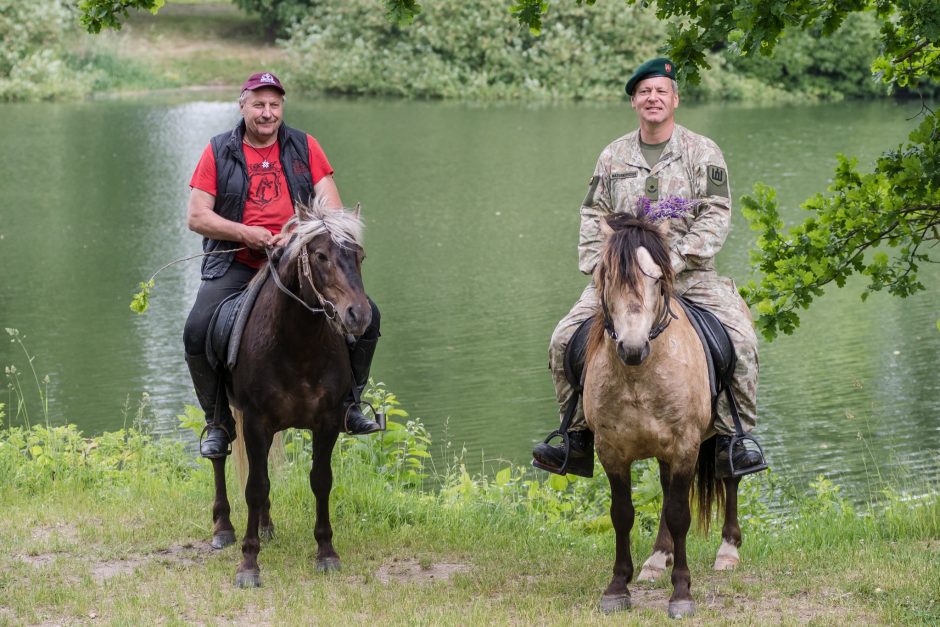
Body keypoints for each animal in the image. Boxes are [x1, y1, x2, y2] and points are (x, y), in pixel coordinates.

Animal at [207, 199, 372, 588]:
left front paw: (326, 552)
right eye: (321, 256)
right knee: (220, 455)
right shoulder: (255, 421)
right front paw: (248, 563)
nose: (358, 316)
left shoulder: (327, 421)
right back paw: (223, 528)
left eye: (359, 255)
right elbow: (253, 487)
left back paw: (266, 527)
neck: (299, 342)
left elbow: (320, 481)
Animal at [580, 215, 740, 620]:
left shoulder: (685, 446)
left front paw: (681, 593)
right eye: (607, 277)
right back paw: (657, 559)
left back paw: (728, 551)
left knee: (730, 476)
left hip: (726, 431)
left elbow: (681, 514)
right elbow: (622, 513)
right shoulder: (611, 451)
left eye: (656, 279)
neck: (639, 377)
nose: (633, 348)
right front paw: (617, 588)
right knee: (667, 492)